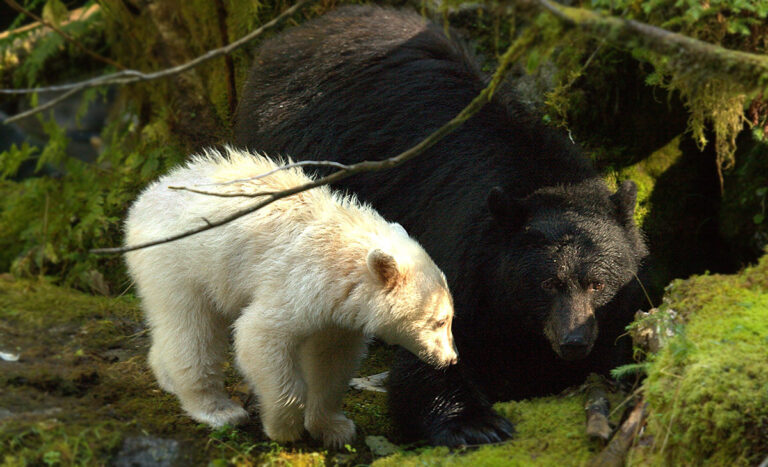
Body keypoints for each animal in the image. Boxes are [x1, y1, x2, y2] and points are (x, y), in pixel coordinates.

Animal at [123, 147, 458, 448]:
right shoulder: (298, 281)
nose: (451, 359)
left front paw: (335, 428)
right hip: (181, 263)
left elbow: (331, 361)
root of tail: (143, 200)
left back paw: (167, 377)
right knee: (193, 330)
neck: (343, 258)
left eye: (451, 318)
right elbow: (260, 336)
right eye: (439, 321)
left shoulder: (338, 313)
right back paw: (219, 409)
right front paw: (283, 427)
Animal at [233, 6, 648, 446]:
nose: (573, 342)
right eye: (548, 283)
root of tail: (293, 37)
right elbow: (435, 348)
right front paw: (475, 423)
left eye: (598, 284)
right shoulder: (463, 254)